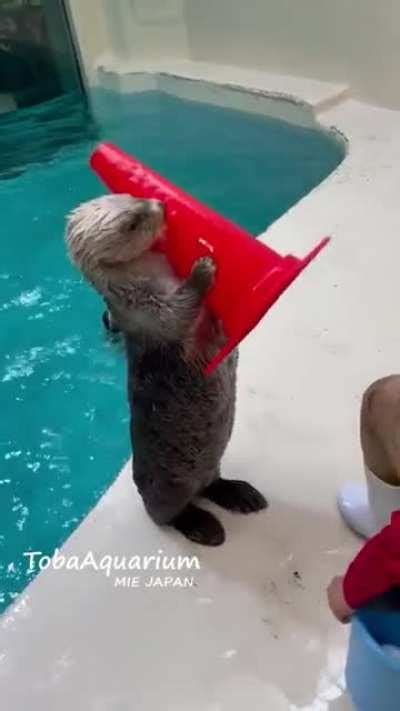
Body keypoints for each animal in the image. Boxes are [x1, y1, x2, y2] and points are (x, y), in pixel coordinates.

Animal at [66, 193, 267, 545]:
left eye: (133, 197)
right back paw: (204, 527)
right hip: (168, 488)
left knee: (212, 483)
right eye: (132, 223)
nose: (159, 205)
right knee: (168, 516)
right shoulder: (147, 310)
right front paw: (202, 269)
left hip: (210, 465)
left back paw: (240, 495)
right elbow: (180, 310)